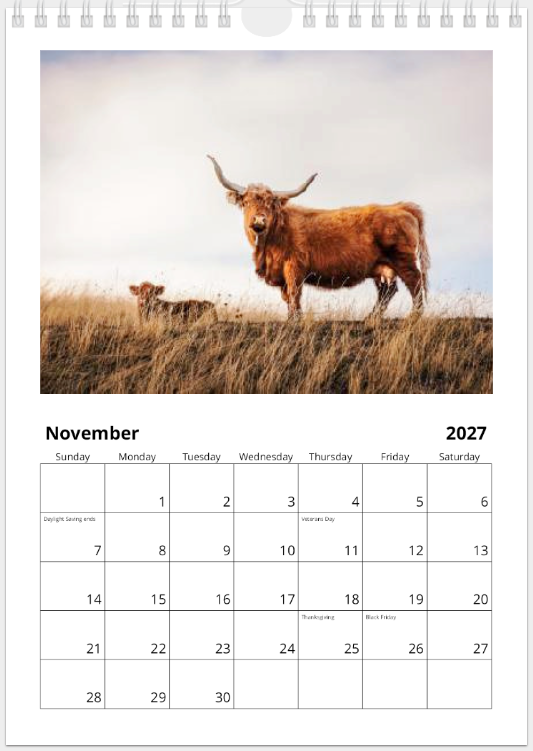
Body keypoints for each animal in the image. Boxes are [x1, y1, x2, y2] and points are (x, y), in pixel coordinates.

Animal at [208, 155, 429, 319]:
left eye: (271, 204)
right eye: (245, 202)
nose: (259, 221)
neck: (268, 247)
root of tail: (400, 207)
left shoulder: (294, 268)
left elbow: (295, 296)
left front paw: (295, 320)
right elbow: (287, 298)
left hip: (403, 259)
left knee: (415, 284)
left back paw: (413, 317)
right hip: (381, 266)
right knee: (387, 291)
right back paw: (371, 318)